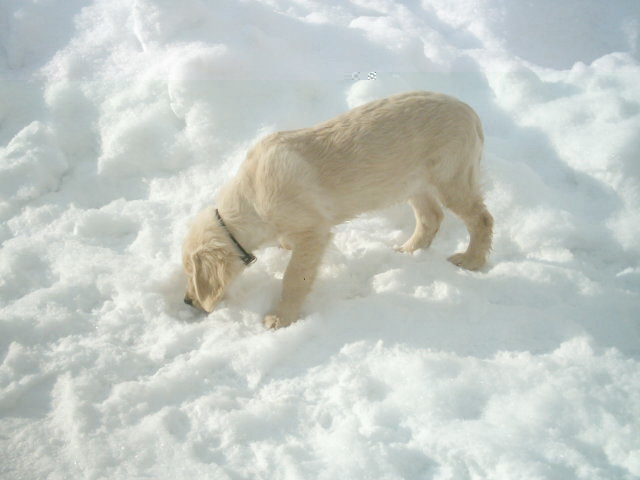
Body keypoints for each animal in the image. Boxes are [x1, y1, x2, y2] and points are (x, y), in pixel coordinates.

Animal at [182, 91, 492, 328]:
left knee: (481, 219)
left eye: (190, 274)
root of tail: (471, 112)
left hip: (451, 178)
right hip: (414, 183)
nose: (186, 301)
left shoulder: (314, 230)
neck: (252, 198)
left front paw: (281, 318)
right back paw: (408, 250)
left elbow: (295, 277)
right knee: (431, 217)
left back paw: (471, 261)